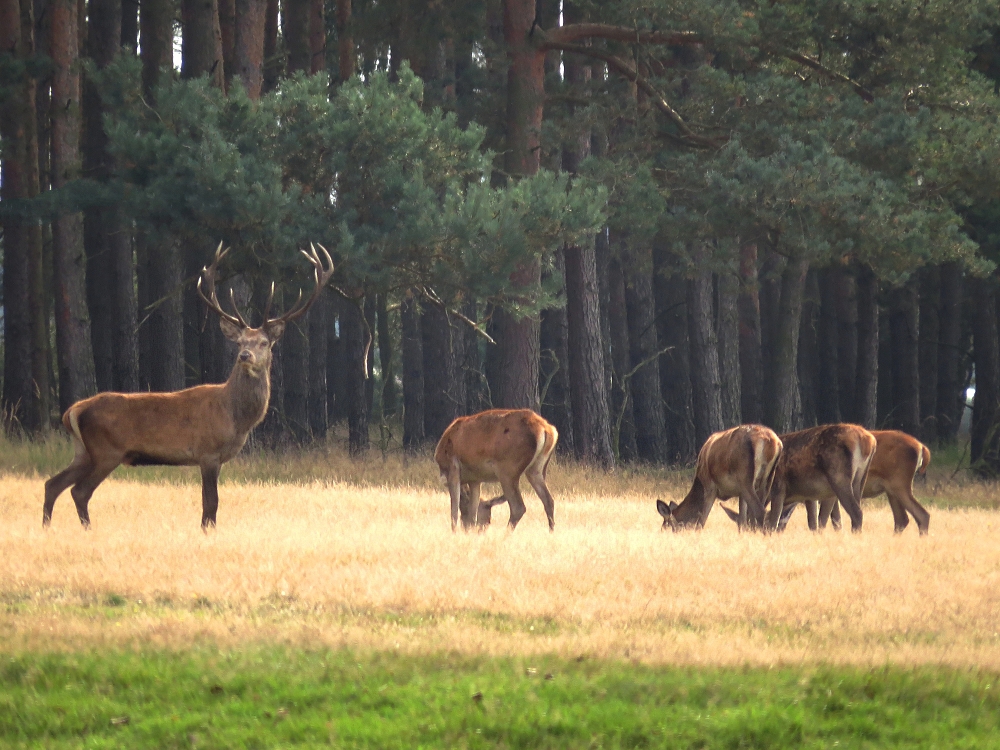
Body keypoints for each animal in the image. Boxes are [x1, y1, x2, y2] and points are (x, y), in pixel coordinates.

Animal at [43, 244, 334, 532]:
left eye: (263, 342)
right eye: (240, 342)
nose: (245, 356)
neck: (235, 417)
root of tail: (73, 411)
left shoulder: (215, 458)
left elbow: (209, 503)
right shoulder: (208, 452)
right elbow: (211, 503)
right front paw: (208, 532)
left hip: (83, 451)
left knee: (52, 484)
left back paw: (47, 527)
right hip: (106, 450)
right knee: (79, 491)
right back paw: (87, 530)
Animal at [760, 432, 932, 536]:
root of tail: (922, 448)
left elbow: (824, 519)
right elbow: (831, 519)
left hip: (899, 483)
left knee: (921, 514)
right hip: (891, 490)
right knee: (902, 519)